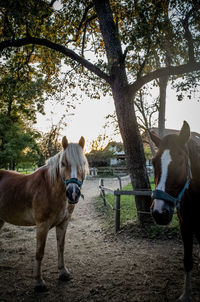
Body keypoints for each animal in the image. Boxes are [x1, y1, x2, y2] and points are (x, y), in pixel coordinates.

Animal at [0, 136, 89, 290]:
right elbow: (39, 252)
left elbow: (61, 247)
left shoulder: (63, 223)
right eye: (63, 163)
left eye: (83, 163)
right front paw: (39, 282)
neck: (49, 188)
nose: (73, 193)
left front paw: (63, 272)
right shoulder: (42, 225)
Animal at [151, 121, 199, 300]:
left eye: (180, 161)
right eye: (153, 162)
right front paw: (186, 295)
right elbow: (187, 261)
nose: (159, 212)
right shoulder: (185, 227)